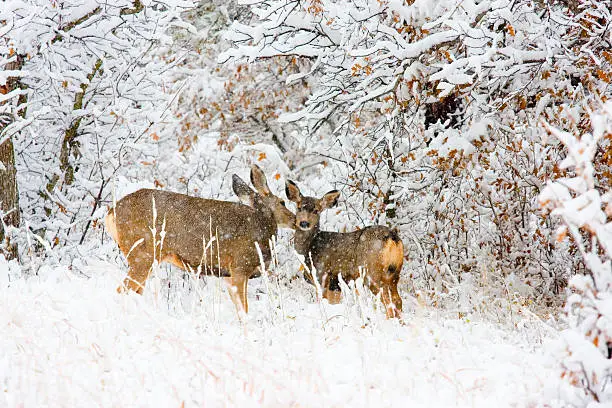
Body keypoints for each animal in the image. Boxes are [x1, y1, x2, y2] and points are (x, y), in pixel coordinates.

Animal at [104, 164, 296, 314]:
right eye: (282, 202)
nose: (296, 220)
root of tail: (111, 213)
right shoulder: (240, 267)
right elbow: (244, 311)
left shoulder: (227, 275)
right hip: (142, 254)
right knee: (121, 290)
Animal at [284, 179, 404, 318]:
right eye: (298, 208)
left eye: (316, 211)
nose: (304, 223)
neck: (309, 249)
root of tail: (392, 237)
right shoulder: (335, 283)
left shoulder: (322, 275)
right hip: (394, 274)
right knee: (397, 300)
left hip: (372, 273)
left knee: (387, 301)